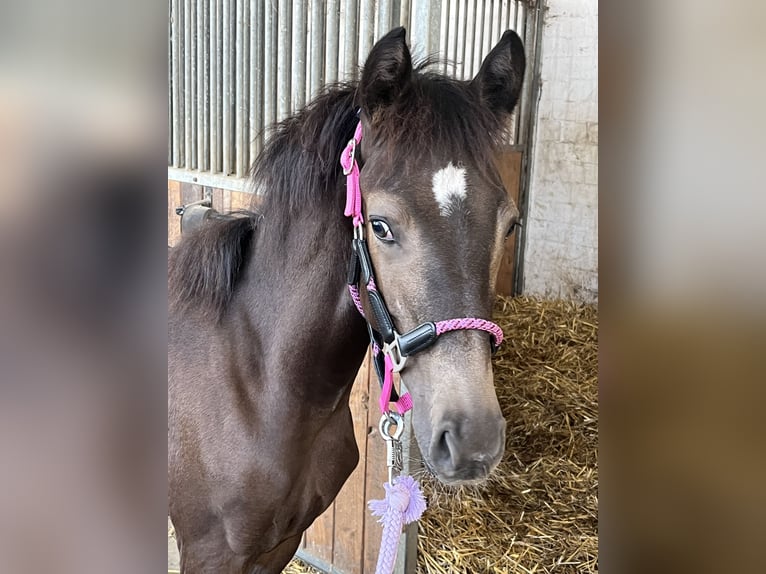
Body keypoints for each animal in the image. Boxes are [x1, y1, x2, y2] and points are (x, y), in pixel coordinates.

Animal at [169, 26, 525, 573]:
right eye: (380, 225)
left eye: (509, 224)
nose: (473, 442)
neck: (256, 384)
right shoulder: (211, 553)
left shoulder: (281, 543)